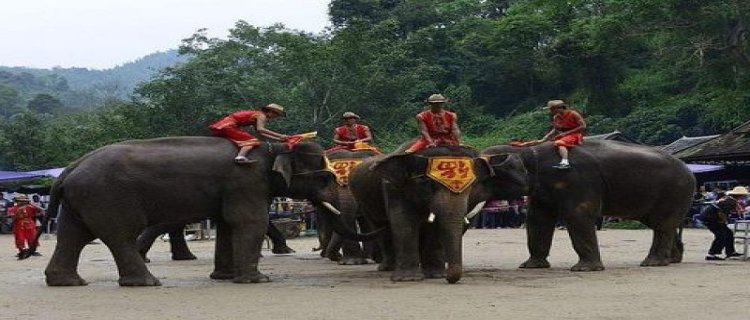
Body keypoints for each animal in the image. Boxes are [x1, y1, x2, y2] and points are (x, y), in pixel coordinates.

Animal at [44, 136, 378, 286]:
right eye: (325, 178)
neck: (272, 148)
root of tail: (69, 169)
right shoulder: (245, 182)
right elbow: (250, 221)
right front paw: (256, 280)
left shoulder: (233, 189)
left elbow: (228, 225)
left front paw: (223, 277)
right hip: (107, 197)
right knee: (119, 235)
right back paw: (147, 282)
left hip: (81, 200)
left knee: (72, 235)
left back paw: (67, 282)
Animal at [352, 145, 496, 282]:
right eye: (426, 182)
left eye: (472, 186)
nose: (448, 278)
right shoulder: (394, 188)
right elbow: (404, 222)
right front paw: (407, 279)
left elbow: (434, 227)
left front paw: (436, 275)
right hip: (366, 203)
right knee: (381, 228)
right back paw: (388, 268)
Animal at [478, 139, 696, 270]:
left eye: (485, 178)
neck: (526, 152)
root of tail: (689, 171)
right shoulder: (542, 190)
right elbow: (537, 219)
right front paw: (530, 266)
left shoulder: (577, 179)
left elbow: (577, 214)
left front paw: (584, 269)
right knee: (664, 225)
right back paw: (672, 260)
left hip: (674, 192)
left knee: (662, 225)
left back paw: (652, 263)